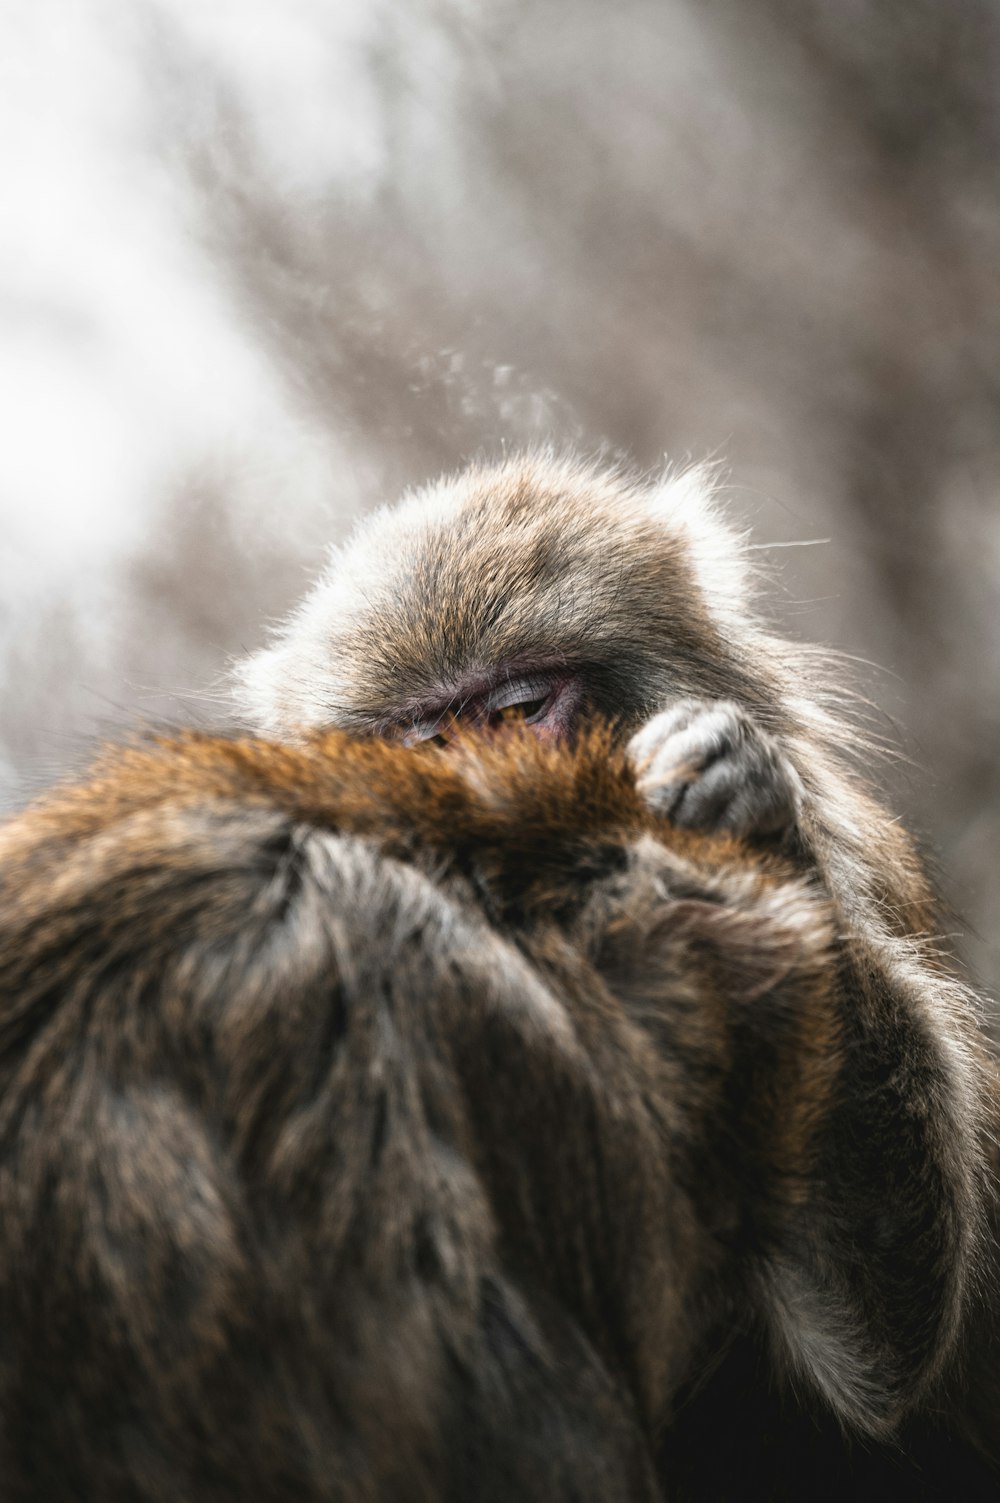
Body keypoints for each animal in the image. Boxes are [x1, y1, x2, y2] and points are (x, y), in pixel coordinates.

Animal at [230, 450, 998, 1484]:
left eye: (518, 709)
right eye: (431, 739)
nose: (489, 790)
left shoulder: (853, 860)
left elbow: (892, 1351)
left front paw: (742, 827)